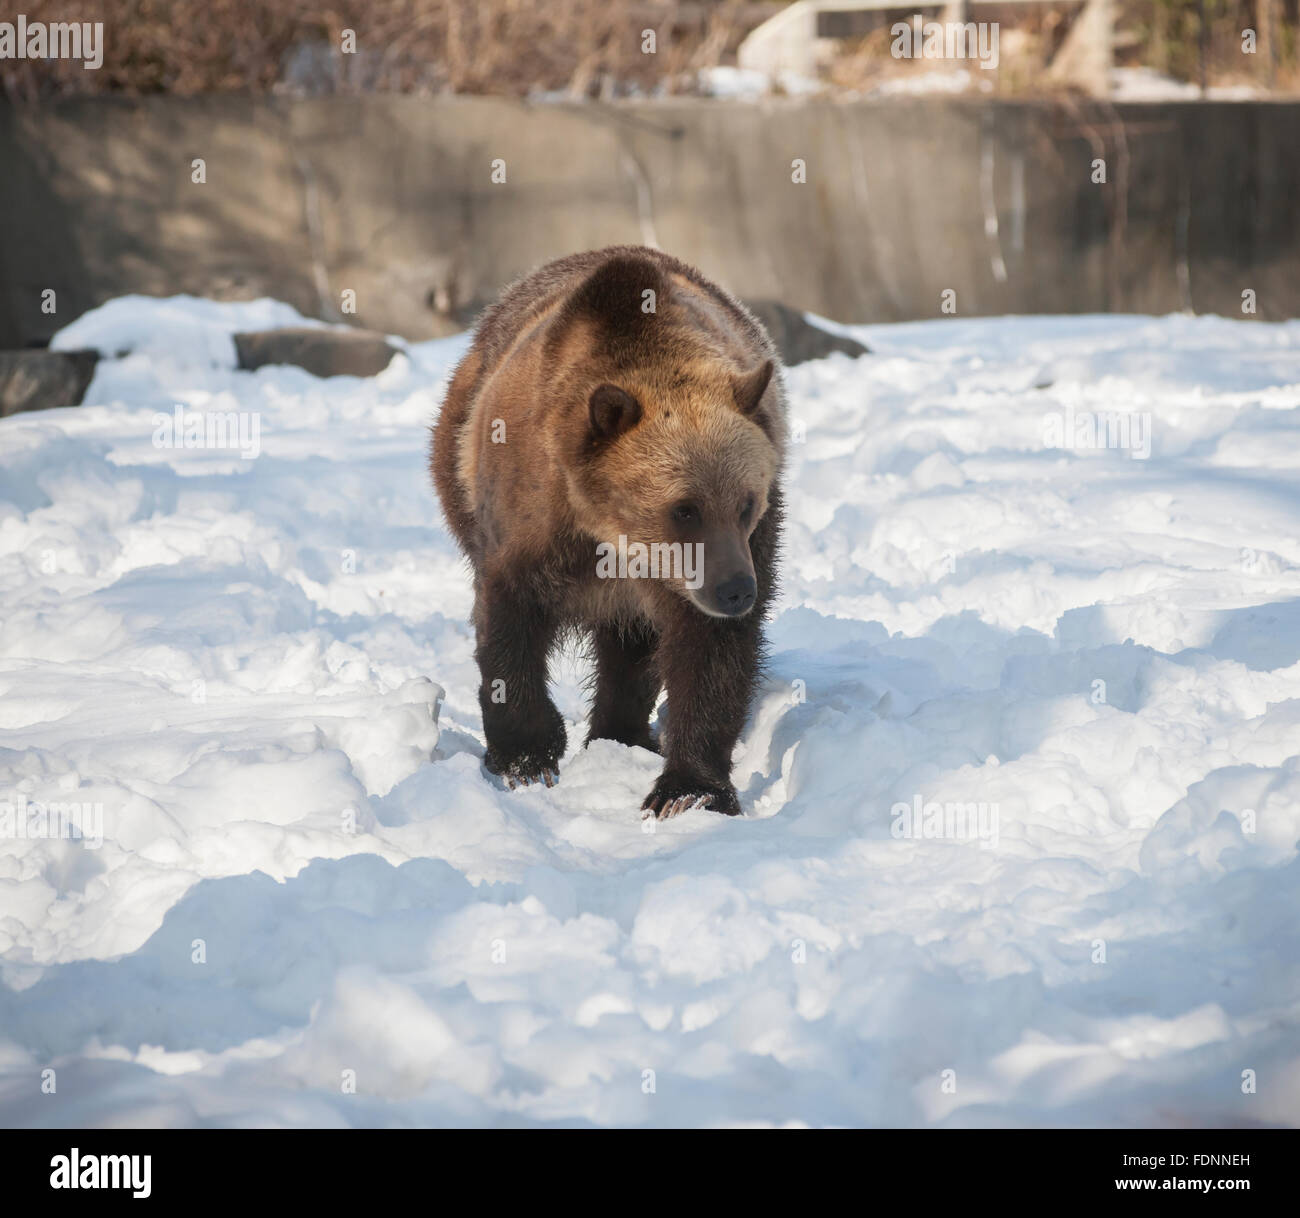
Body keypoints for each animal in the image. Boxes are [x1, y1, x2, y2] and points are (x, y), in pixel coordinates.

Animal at [430, 245, 786, 818]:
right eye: (685, 509)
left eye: (746, 503)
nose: (736, 591)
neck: (609, 532)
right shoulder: (528, 522)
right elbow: (508, 625)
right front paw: (527, 758)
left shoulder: (724, 557)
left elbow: (711, 655)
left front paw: (688, 790)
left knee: (631, 649)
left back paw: (622, 733)